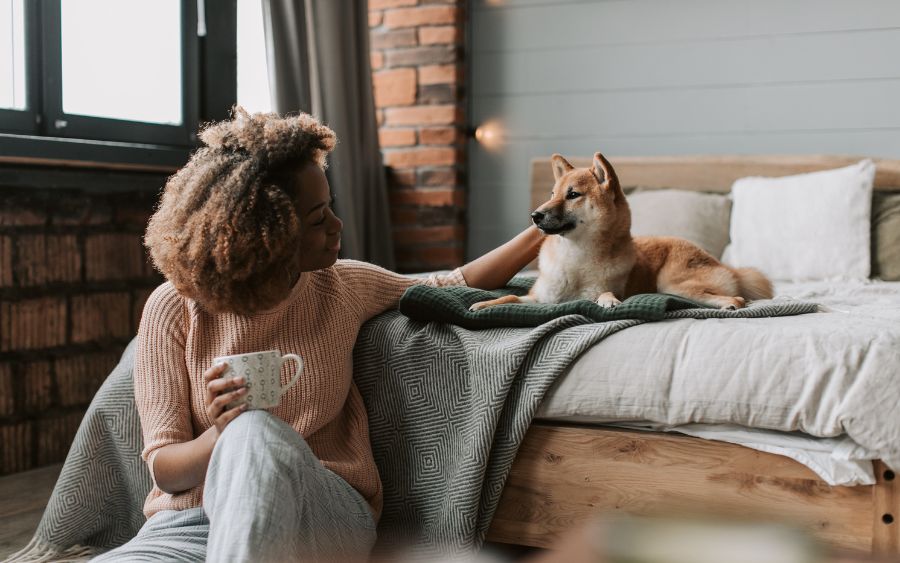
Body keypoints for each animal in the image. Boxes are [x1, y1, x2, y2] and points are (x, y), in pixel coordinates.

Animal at [472, 152, 772, 310]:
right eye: (552, 194)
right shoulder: (539, 298)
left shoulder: (598, 289)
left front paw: (609, 301)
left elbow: (604, 294)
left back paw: (730, 304)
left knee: (738, 298)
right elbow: (510, 296)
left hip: (673, 283)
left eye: (573, 195)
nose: (534, 216)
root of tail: (724, 265)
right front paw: (482, 305)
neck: (575, 257)